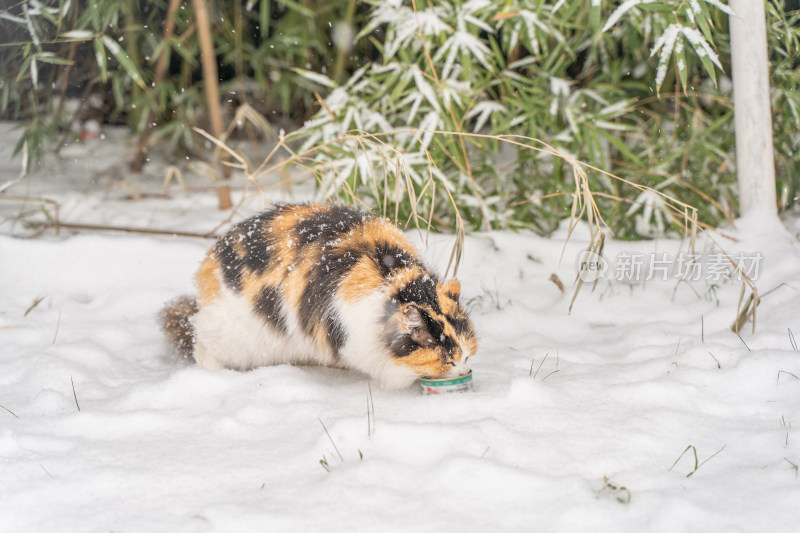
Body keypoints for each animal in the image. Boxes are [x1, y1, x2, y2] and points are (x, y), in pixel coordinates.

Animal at [159, 202, 478, 388]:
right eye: (450, 361)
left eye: (467, 354)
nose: (465, 368)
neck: (398, 282)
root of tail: (208, 264)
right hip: (233, 334)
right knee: (202, 345)